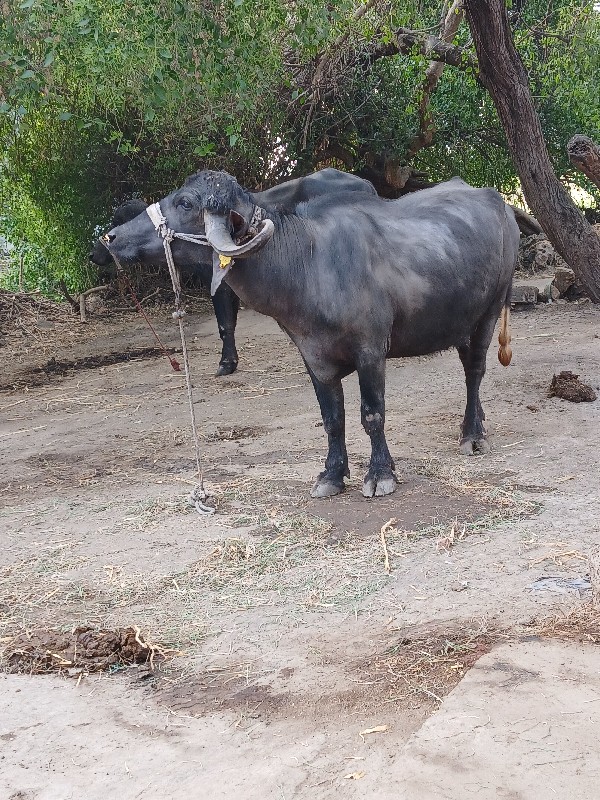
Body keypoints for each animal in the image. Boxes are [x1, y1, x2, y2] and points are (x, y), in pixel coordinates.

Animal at [104, 168, 516, 496]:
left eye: (186, 202)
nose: (112, 238)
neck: (309, 263)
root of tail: (499, 204)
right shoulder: (313, 356)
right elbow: (332, 420)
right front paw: (331, 475)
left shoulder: (371, 350)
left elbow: (372, 414)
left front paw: (380, 474)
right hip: (461, 321)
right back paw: (476, 423)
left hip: (492, 308)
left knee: (475, 370)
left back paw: (472, 435)